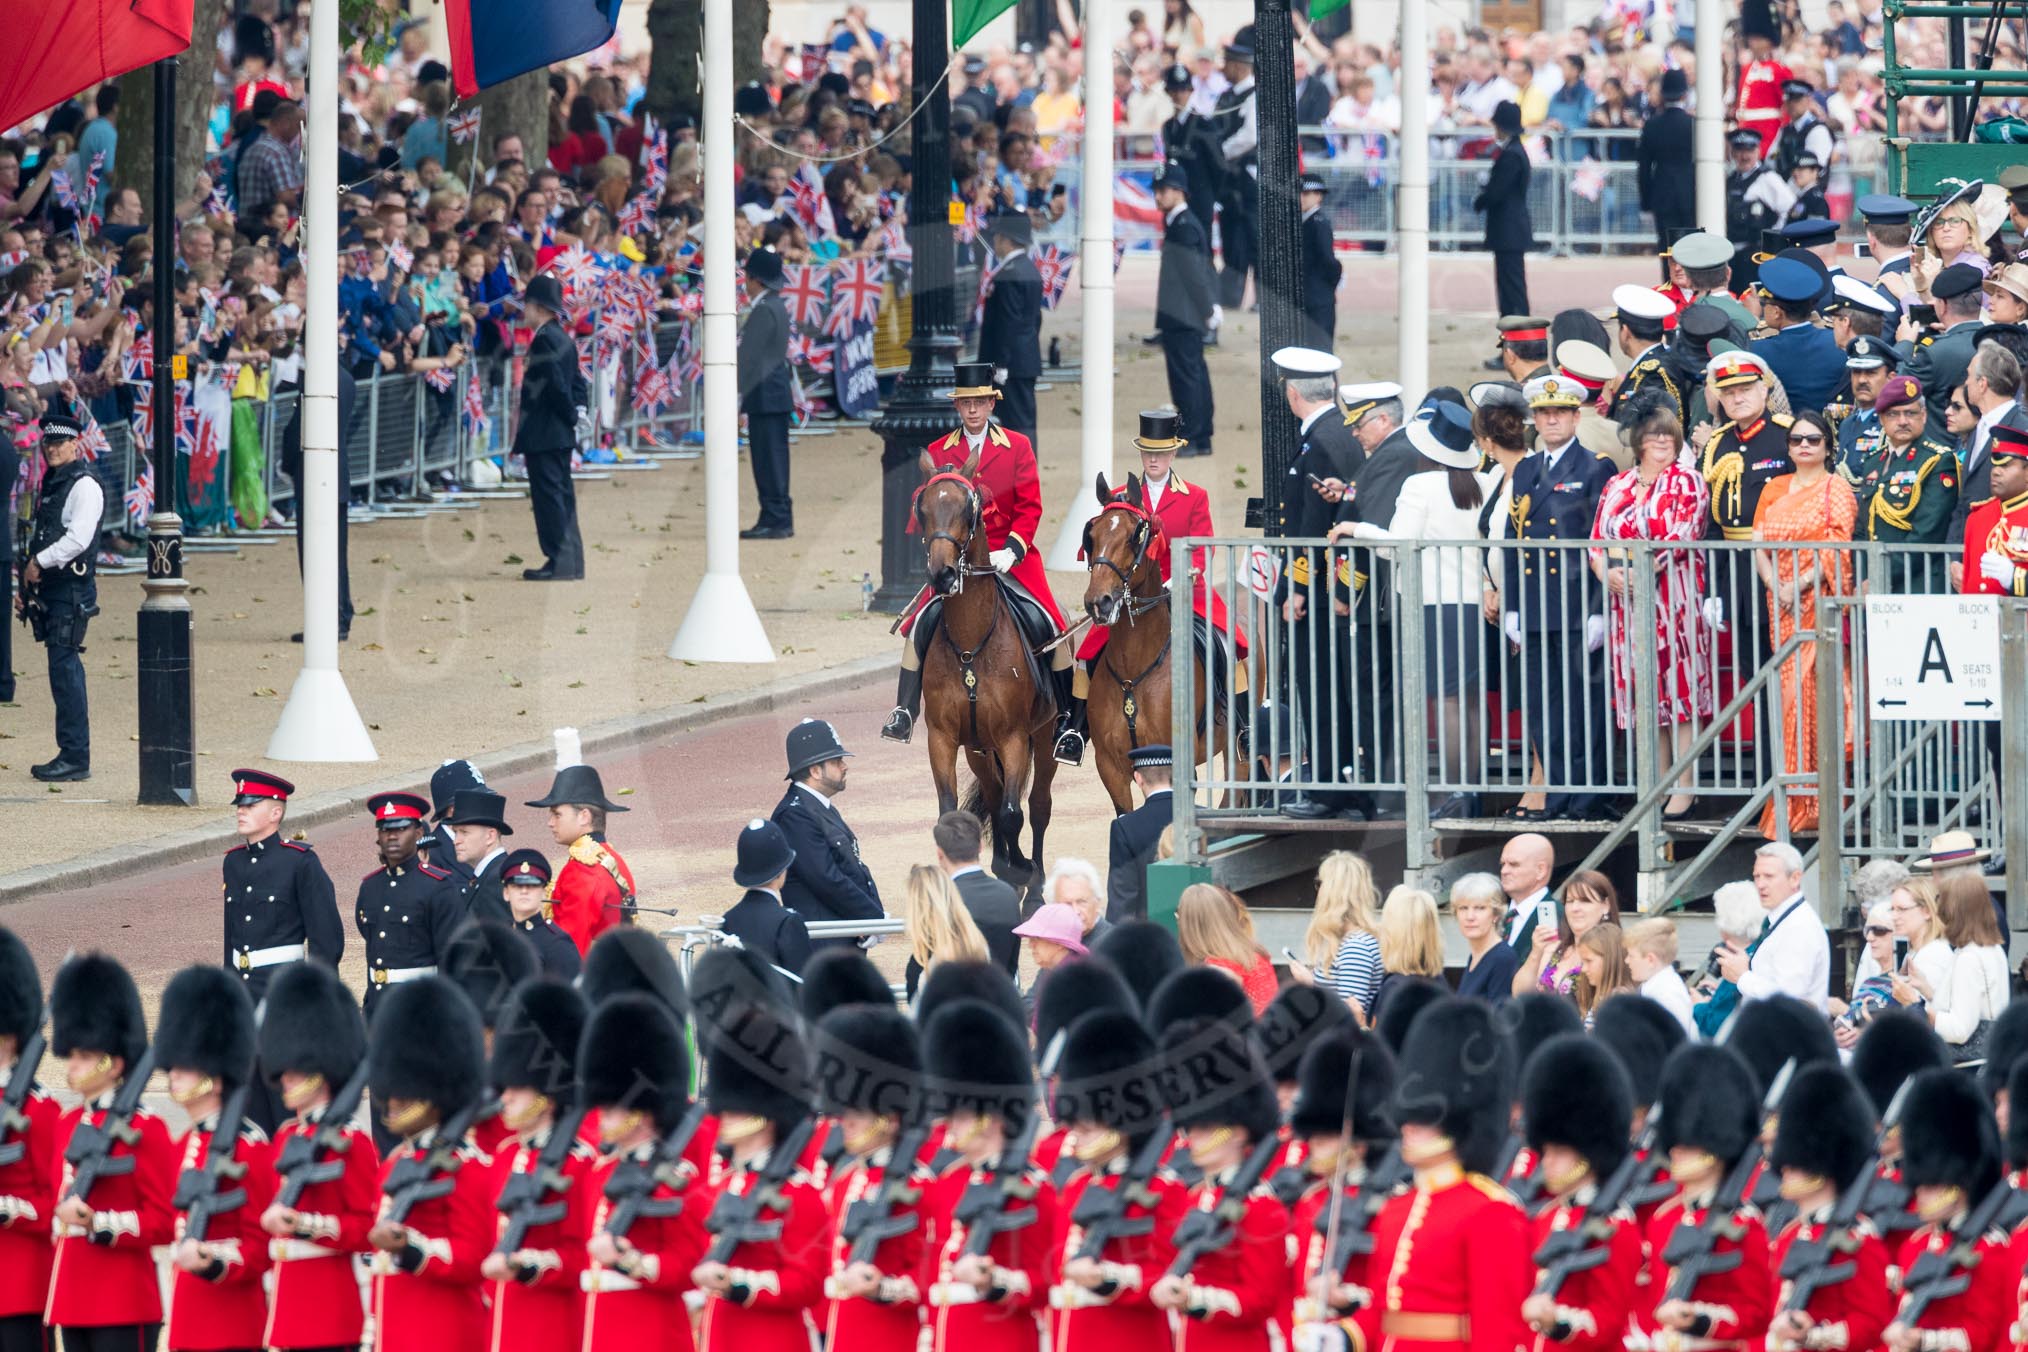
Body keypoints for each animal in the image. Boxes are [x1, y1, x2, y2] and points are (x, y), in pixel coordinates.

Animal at [912, 449, 1054, 891]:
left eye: (968, 508)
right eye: (922, 508)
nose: (941, 575)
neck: (971, 646)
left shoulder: (1013, 738)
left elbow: (1013, 813)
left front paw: (1021, 869)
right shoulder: (943, 738)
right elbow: (951, 812)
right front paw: (998, 867)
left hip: (1044, 738)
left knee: (1037, 805)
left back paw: (1035, 874)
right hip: (978, 748)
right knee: (993, 795)